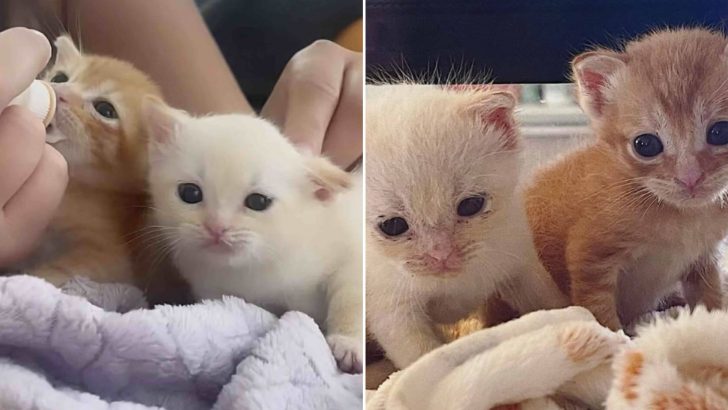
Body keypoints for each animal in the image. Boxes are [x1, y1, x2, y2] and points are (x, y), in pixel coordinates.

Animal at [143, 98, 364, 372]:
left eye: (257, 202)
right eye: (190, 193)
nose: (216, 227)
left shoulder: (353, 253)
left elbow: (351, 297)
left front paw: (349, 343)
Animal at [366, 83, 564, 368]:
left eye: (471, 205)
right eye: (393, 226)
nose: (441, 255)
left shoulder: (519, 258)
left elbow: (552, 303)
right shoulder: (391, 310)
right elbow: (424, 356)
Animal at [528, 28, 728, 330]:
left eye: (720, 132)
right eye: (645, 145)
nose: (690, 178)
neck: (684, 218)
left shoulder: (702, 259)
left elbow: (710, 296)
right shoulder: (589, 256)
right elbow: (599, 313)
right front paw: (618, 338)